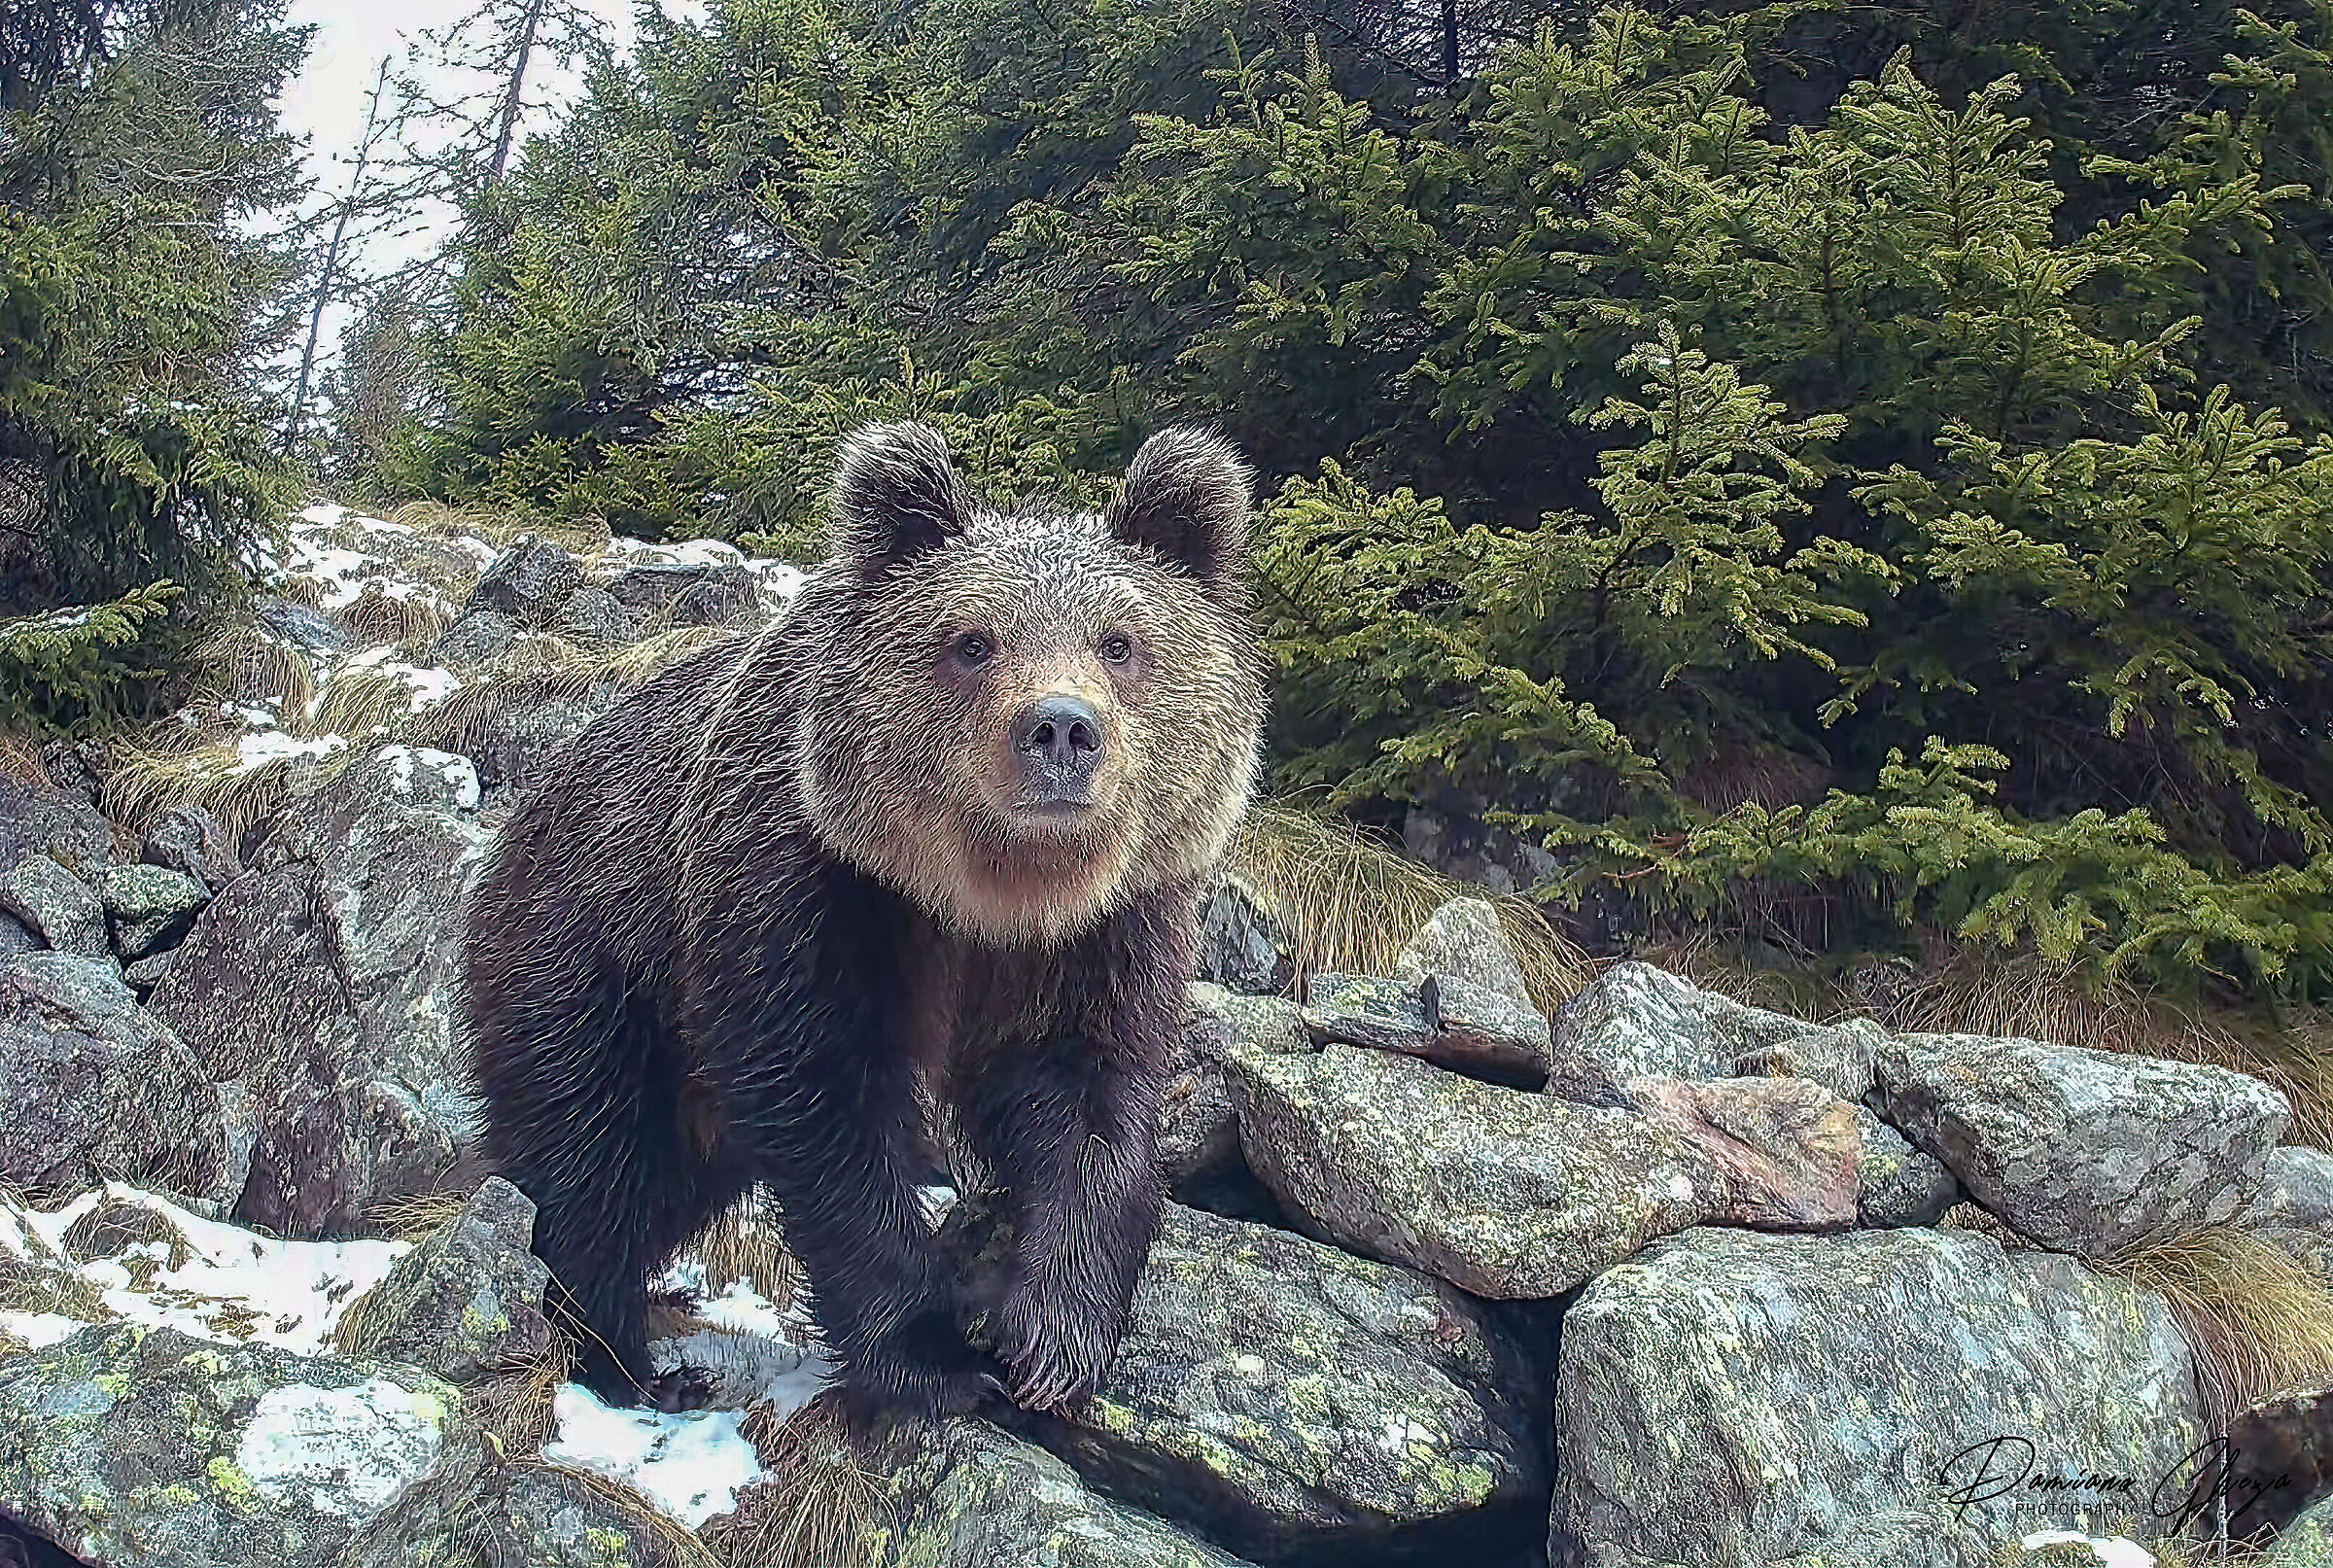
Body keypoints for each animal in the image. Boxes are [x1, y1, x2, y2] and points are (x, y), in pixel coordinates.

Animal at [458, 422, 1267, 1433]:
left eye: (1120, 641)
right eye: (972, 641)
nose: (1060, 729)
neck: (992, 895)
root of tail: (524, 814)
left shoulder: (1109, 927)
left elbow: (1088, 1097)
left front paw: (1054, 1335)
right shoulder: (808, 890)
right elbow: (828, 1109)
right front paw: (934, 1358)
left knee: (666, 1179)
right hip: (588, 962)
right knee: (594, 1158)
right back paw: (631, 1360)